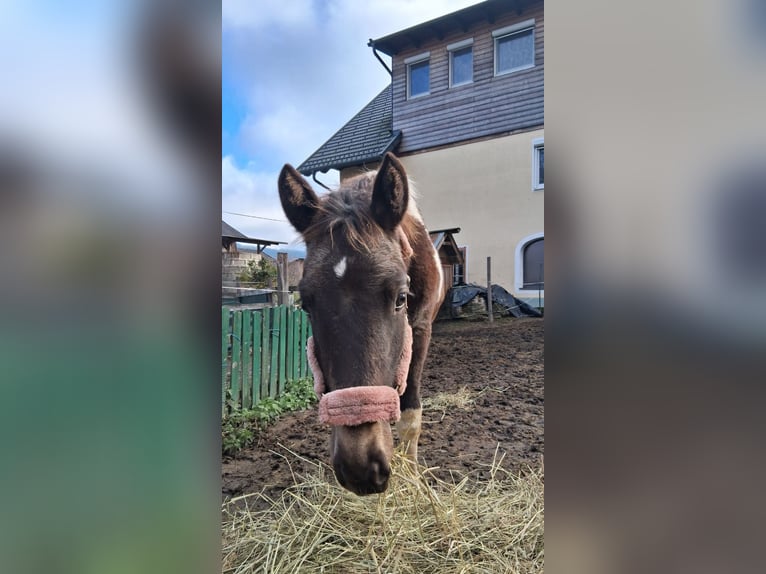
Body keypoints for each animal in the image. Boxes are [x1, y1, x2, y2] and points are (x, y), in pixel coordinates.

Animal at [278, 152, 446, 496]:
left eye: (401, 297)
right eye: (305, 304)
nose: (360, 469)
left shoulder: (421, 329)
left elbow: (410, 414)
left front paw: (412, 479)